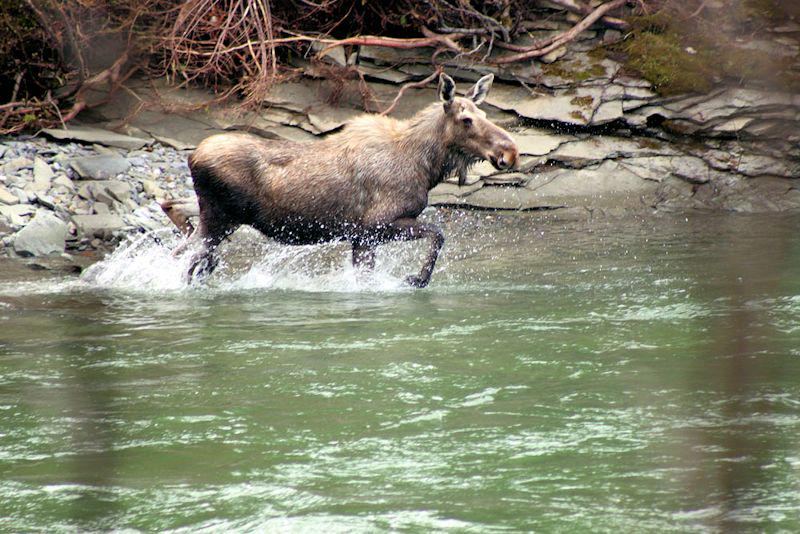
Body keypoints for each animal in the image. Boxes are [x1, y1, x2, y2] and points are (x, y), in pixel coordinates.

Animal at [164, 72, 519, 288]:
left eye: (485, 115)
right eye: (467, 119)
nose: (510, 152)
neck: (426, 165)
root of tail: (192, 157)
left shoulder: (361, 237)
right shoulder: (377, 225)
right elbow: (438, 235)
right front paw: (416, 279)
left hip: (214, 216)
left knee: (176, 224)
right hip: (220, 219)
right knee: (188, 260)